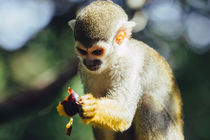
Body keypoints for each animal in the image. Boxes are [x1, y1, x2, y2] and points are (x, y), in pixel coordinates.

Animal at [68, 0, 183, 139]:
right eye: (82, 51)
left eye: (97, 52)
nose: (89, 62)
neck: (112, 60)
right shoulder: (84, 70)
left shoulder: (129, 65)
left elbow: (125, 111)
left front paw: (93, 108)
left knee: (147, 102)